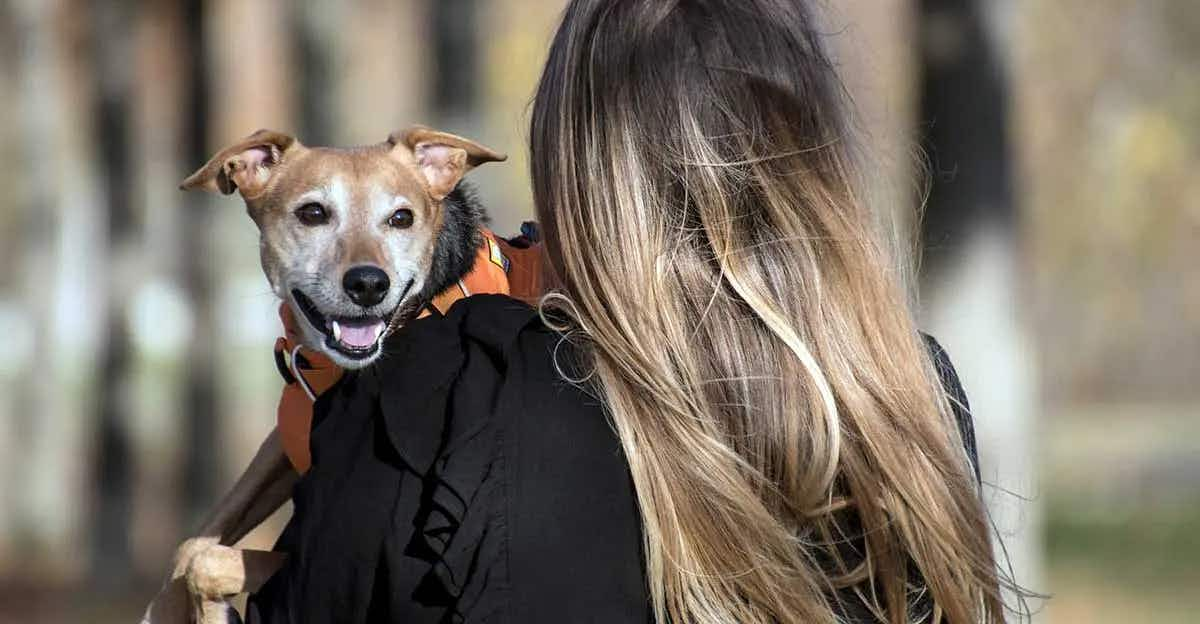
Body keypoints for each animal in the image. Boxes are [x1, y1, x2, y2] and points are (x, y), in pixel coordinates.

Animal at [142, 126, 508, 624]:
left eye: (402, 217)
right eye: (312, 213)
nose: (369, 284)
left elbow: (210, 562)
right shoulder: (284, 443)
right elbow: (196, 541)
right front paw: (165, 607)